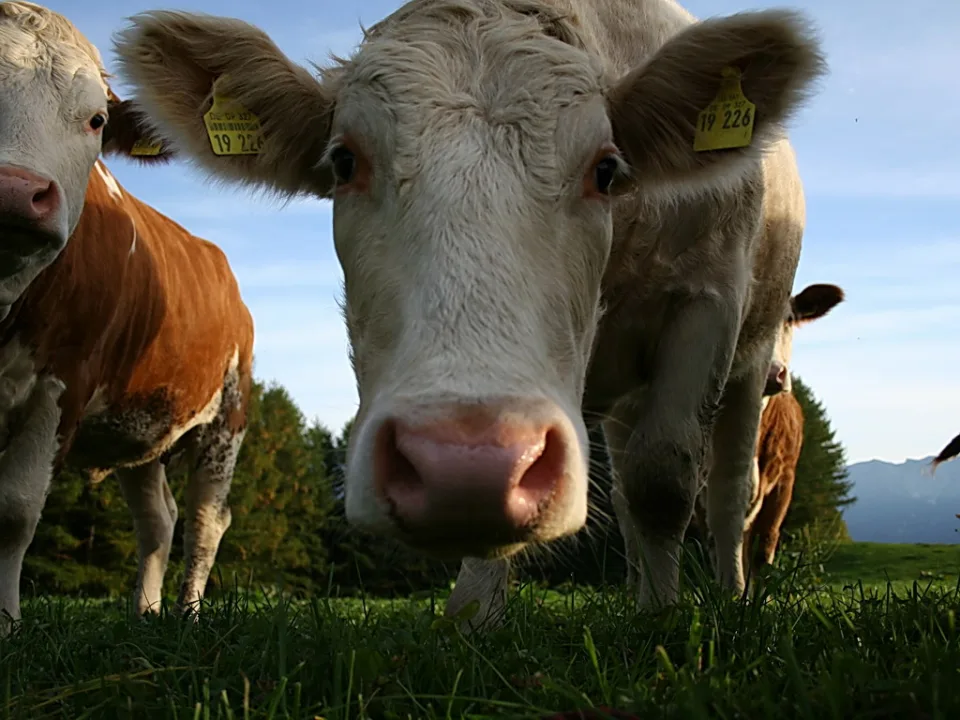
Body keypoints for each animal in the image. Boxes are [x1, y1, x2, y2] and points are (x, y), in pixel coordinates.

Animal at [0, 2, 254, 634]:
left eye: (96, 120)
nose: (14, 192)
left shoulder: (62, 382)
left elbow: (14, 511)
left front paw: (6, 625)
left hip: (228, 417)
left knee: (206, 520)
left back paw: (189, 614)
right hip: (142, 424)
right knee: (158, 519)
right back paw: (146, 611)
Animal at [113, 0, 826, 625]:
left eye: (606, 169)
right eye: (343, 161)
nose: (465, 463)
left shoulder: (707, 299)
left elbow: (666, 477)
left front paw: (662, 618)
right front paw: (477, 617)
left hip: (752, 357)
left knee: (729, 486)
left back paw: (729, 593)